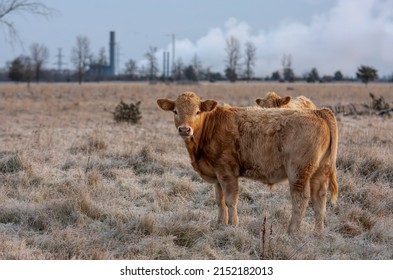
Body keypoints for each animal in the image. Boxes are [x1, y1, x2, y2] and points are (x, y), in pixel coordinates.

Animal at [156, 91, 336, 234]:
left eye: (197, 111)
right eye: (175, 111)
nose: (185, 129)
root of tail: (318, 112)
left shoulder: (227, 172)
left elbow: (230, 200)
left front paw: (233, 225)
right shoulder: (217, 174)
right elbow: (219, 200)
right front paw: (220, 223)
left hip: (298, 172)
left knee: (301, 198)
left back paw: (292, 231)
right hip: (320, 171)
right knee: (319, 198)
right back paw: (318, 232)